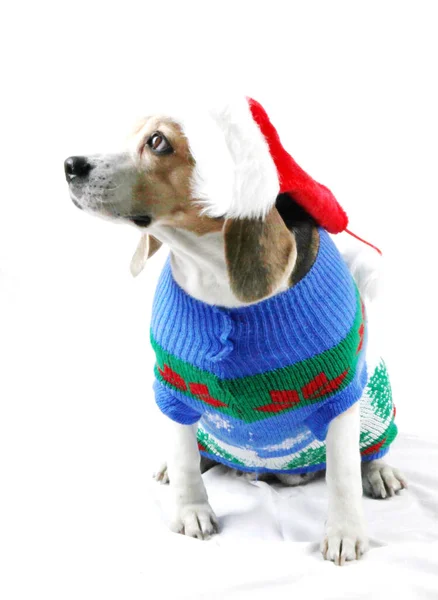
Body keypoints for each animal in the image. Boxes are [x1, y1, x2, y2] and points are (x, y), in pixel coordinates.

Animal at [65, 96, 408, 564]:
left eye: (157, 142)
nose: (70, 164)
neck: (215, 278)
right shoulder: (174, 389)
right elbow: (185, 460)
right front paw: (191, 510)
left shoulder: (339, 396)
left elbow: (342, 475)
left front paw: (344, 532)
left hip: (376, 394)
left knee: (369, 450)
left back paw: (379, 470)